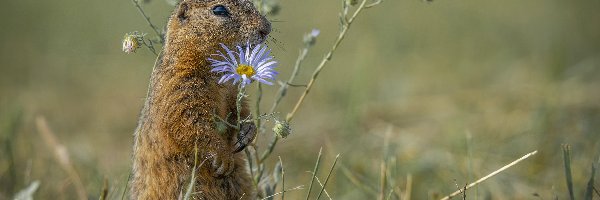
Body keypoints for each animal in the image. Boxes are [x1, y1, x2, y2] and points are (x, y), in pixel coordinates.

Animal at [131, 0, 272, 199]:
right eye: (219, 10)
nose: (266, 28)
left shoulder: (233, 90)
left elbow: (241, 109)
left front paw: (247, 132)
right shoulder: (179, 88)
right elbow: (190, 123)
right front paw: (223, 158)